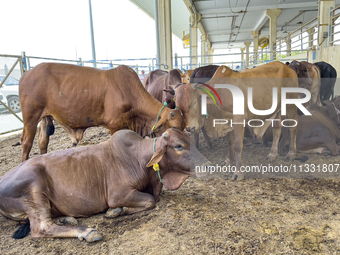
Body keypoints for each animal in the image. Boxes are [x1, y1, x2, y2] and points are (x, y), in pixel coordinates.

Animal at [0, 128, 211, 242]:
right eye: (178, 146)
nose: (208, 165)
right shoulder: (118, 194)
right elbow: (150, 200)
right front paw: (116, 211)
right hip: (35, 189)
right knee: (41, 228)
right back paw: (87, 231)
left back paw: (68, 219)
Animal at [19, 63, 186, 161]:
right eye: (174, 128)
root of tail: (26, 74)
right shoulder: (114, 125)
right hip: (30, 118)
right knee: (26, 142)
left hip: (44, 117)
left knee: (42, 140)